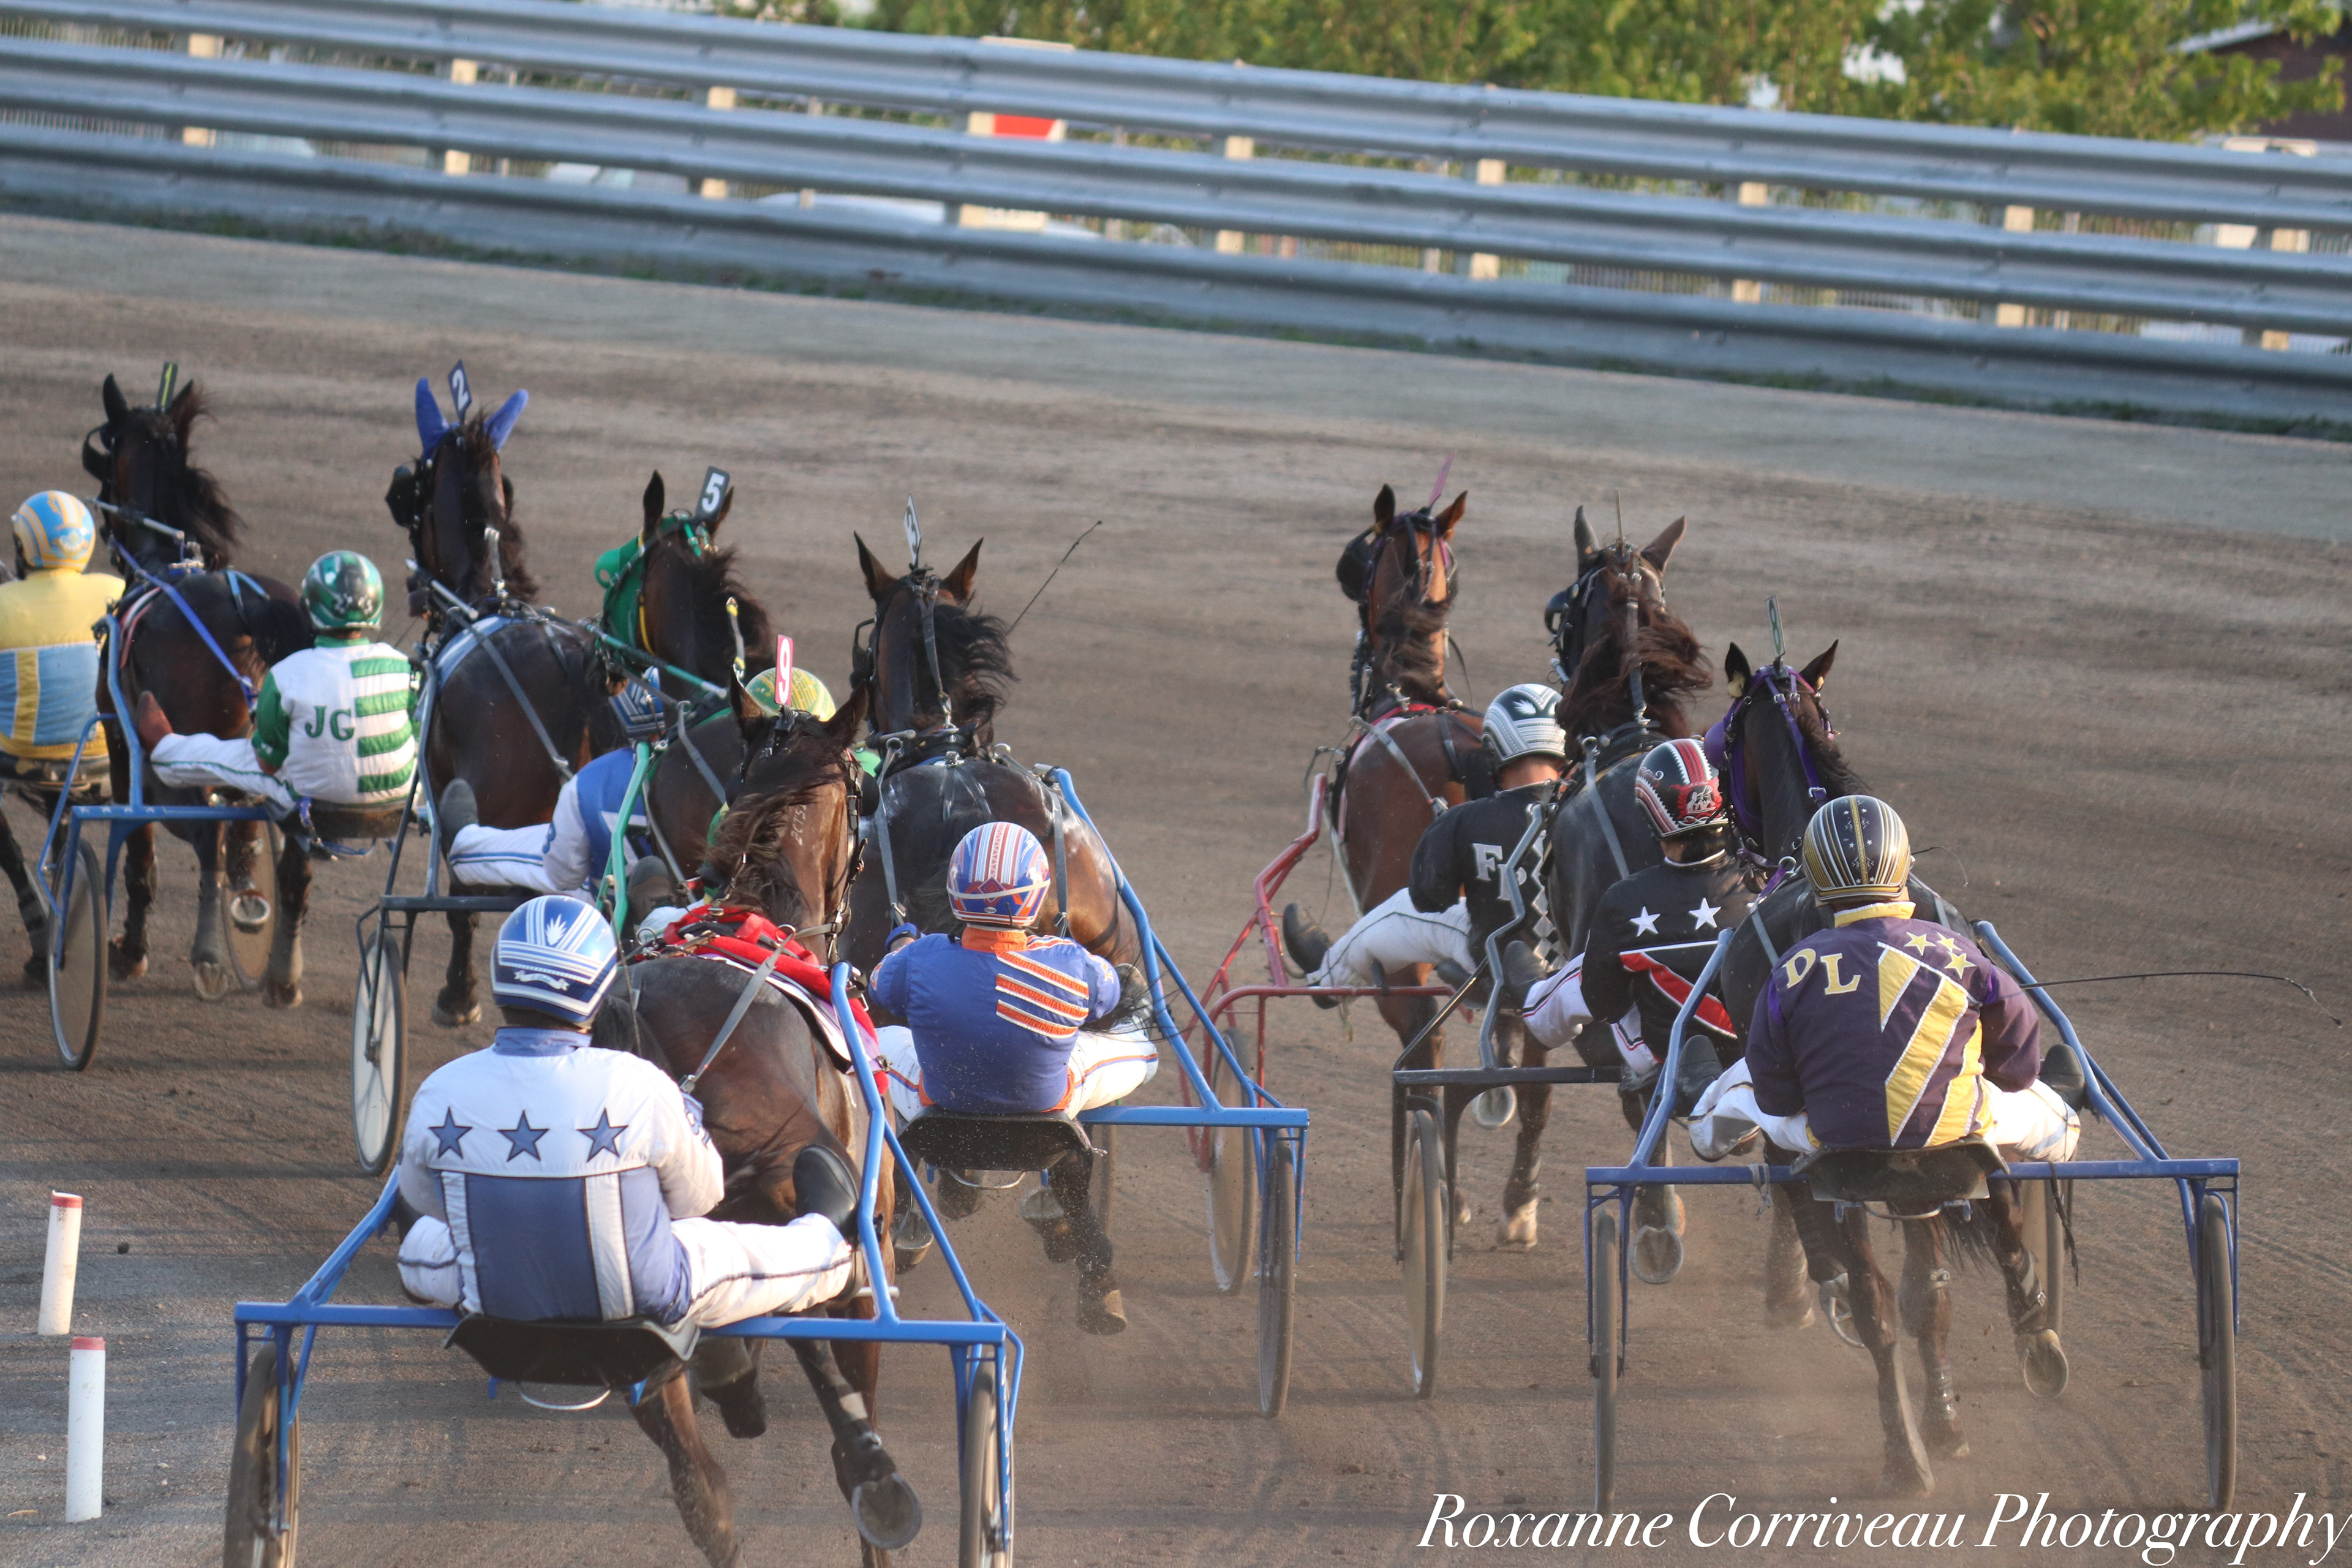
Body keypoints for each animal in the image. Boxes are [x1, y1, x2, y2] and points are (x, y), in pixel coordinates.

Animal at [79, 372, 311, 1001]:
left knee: (204, 838)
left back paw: (207, 955)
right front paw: (250, 897)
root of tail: (247, 609)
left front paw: (131, 949)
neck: (164, 563)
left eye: (107, 454)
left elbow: (141, 849)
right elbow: (246, 830)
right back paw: (283, 973)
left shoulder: (124, 741)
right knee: (297, 849)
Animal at [389, 384, 618, 1024]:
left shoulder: (452, 793)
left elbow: (461, 906)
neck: (486, 598)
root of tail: (576, 679)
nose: (414, 587)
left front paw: (459, 995)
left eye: (409, 493)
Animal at [1705, 643, 2058, 1494]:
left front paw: (1795, 1289)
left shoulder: (1786, 1118)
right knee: (1943, 1280)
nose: (1726, 828)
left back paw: (1904, 1449)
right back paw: (2006, 1365)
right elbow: (1931, 1289)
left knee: (1877, 1301)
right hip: (1935, 1158)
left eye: (1726, 740)